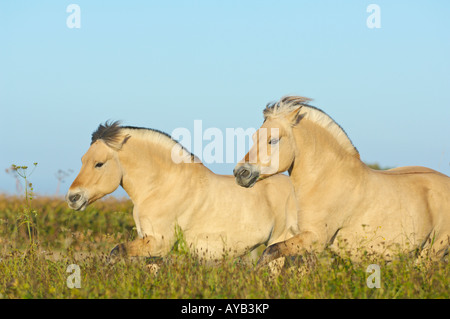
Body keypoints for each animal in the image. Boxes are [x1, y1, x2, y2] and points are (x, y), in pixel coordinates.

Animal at [65, 120, 298, 262]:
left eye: (99, 164)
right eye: (83, 160)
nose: (73, 198)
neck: (161, 187)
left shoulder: (159, 243)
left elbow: (116, 251)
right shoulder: (152, 248)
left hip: (278, 241)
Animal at [234, 95, 450, 268]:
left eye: (273, 140)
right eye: (254, 137)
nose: (240, 173)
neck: (323, 179)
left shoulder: (315, 239)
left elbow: (268, 254)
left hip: (432, 252)